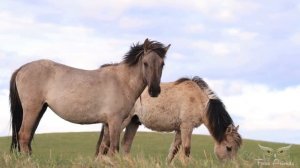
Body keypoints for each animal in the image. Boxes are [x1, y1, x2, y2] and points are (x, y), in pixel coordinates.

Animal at [9, 38, 171, 156]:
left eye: (162, 64)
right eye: (145, 63)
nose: (154, 91)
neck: (122, 81)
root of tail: (22, 68)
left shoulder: (108, 123)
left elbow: (104, 149)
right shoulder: (115, 121)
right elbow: (113, 149)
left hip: (40, 109)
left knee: (27, 138)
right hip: (32, 109)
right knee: (24, 136)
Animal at [98, 77, 241, 162]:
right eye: (229, 148)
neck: (199, 101)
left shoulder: (179, 129)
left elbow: (173, 150)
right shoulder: (186, 127)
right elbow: (186, 150)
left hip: (134, 122)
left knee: (125, 144)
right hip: (122, 121)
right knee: (106, 143)